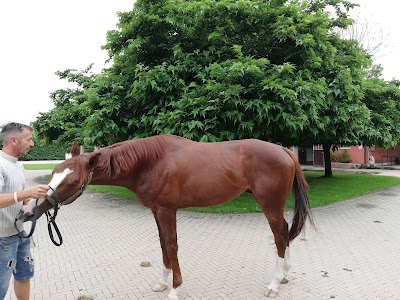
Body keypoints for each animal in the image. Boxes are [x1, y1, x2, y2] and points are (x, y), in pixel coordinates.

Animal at [18, 135, 312, 298]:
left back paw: (274, 284)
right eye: (54, 172)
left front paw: (174, 289)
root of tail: (284, 150)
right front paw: (162, 283)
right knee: (285, 232)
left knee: (279, 236)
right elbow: (162, 246)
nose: (30, 210)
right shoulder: (156, 211)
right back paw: (284, 275)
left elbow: (171, 245)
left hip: (269, 204)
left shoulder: (167, 210)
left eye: (72, 181)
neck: (151, 162)